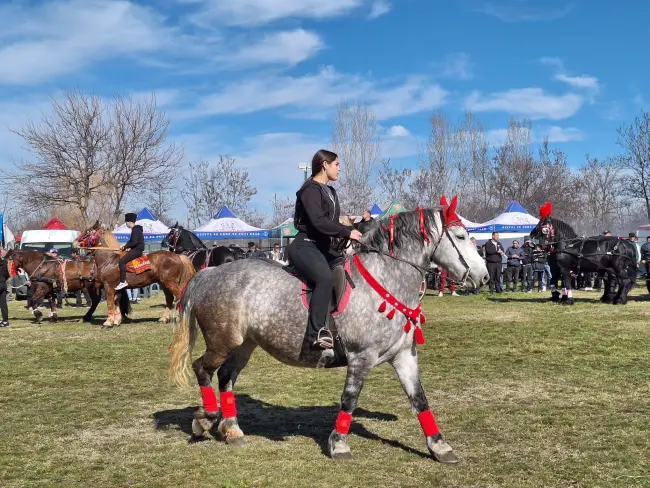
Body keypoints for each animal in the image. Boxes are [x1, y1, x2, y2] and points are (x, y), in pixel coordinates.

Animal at [167, 201, 486, 462]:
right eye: (460, 237)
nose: (483, 276)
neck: (384, 280)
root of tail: (208, 273)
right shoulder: (361, 358)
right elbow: (350, 398)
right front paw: (339, 445)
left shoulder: (404, 356)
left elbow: (419, 399)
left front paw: (440, 446)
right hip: (222, 341)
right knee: (202, 368)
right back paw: (206, 418)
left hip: (243, 344)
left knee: (225, 377)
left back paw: (232, 430)